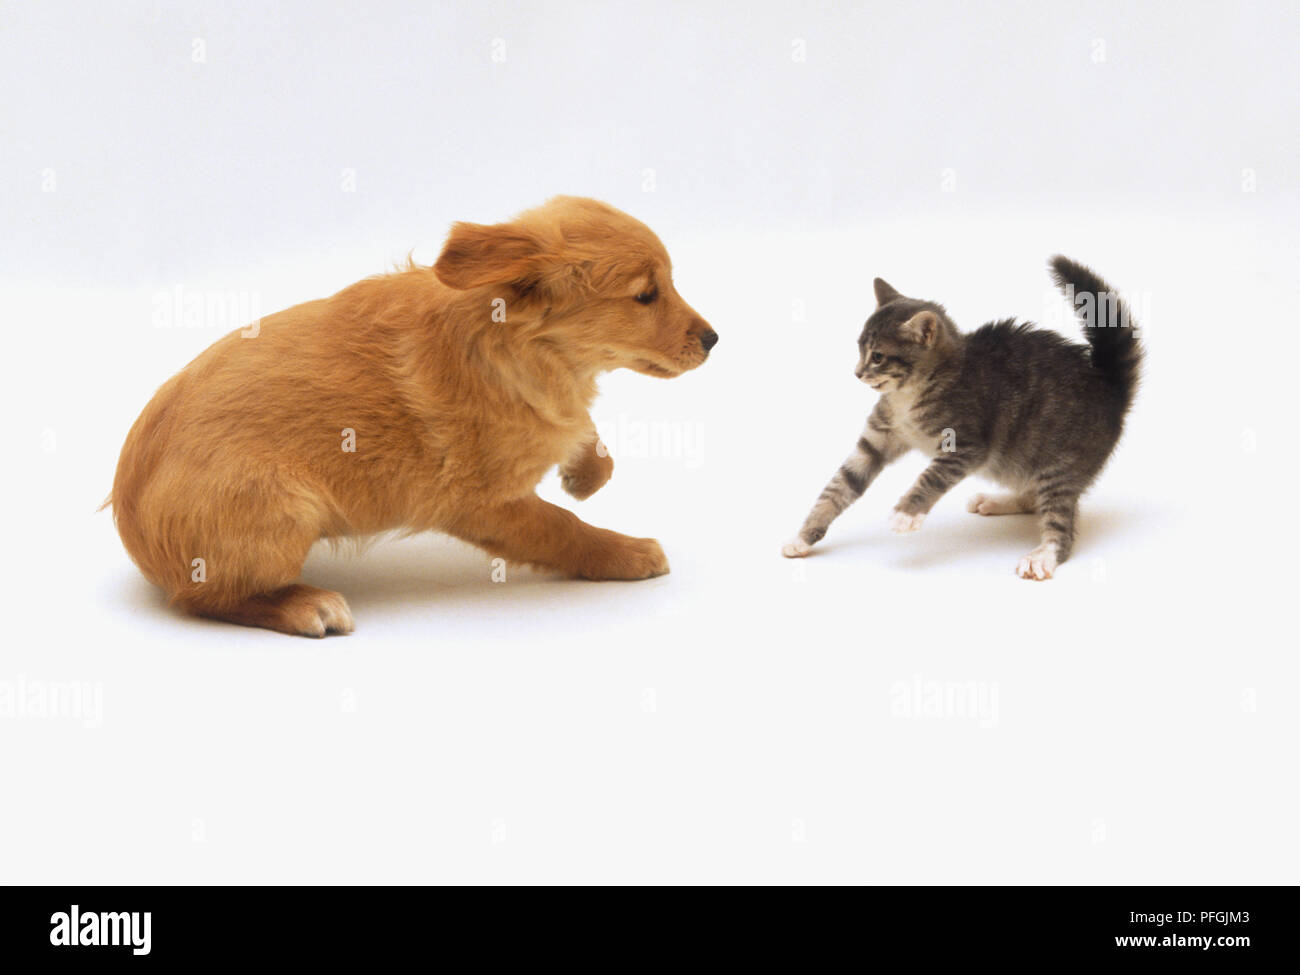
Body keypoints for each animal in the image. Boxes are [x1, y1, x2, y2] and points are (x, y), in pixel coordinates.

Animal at [109, 198, 722, 642]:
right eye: (646, 295)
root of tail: (132, 526)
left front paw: (588, 474)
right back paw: (305, 605)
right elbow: (563, 528)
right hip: (279, 510)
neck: (518, 348)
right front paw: (626, 552)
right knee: (205, 599)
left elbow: (582, 431)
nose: (715, 339)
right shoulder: (485, 502)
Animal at [780, 257, 1138, 579]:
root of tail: (1111, 388)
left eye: (878, 356)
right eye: (858, 348)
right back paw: (996, 502)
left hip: (1059, 464)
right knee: (1032, 496)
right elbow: (838, 486)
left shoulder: (965, 445)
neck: (909, 395)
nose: (857, 372)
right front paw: (803, 537)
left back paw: (1042, 556)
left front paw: (906, 513)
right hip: (1020, 462)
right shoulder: (875, 441)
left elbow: (931, 477)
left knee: (1060, 524)